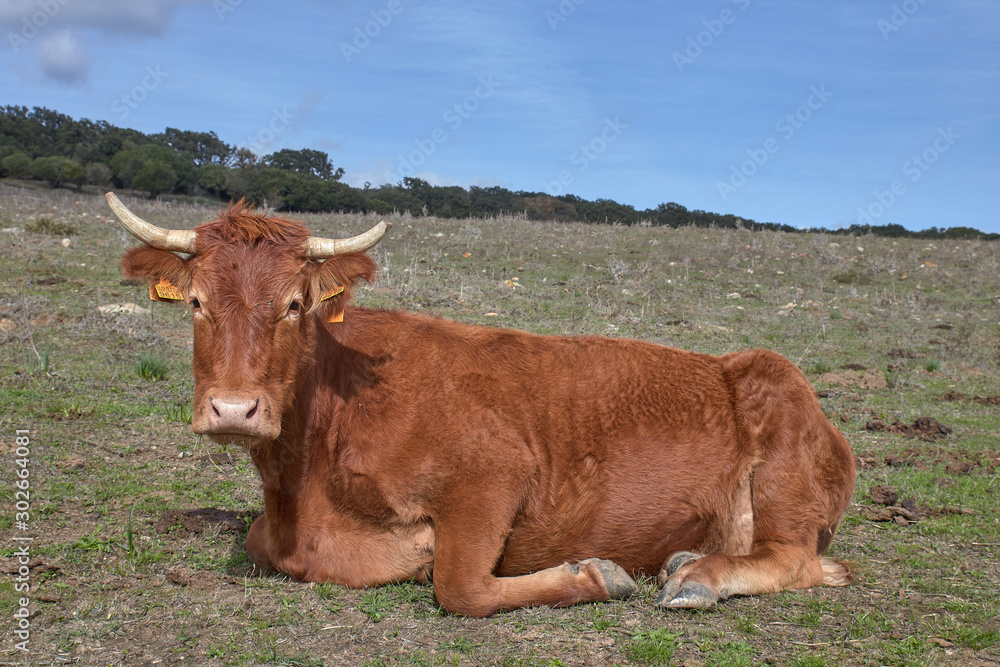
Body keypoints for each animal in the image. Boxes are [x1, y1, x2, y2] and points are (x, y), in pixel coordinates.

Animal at [111, 192, 860, 616]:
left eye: (294, 305)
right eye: (197, 303)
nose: (235, 410)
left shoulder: (494, 471)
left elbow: (460, 586)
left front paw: (599, 574)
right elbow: (260, 543)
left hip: (779, 424)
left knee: (795, 558)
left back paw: (696, 575)